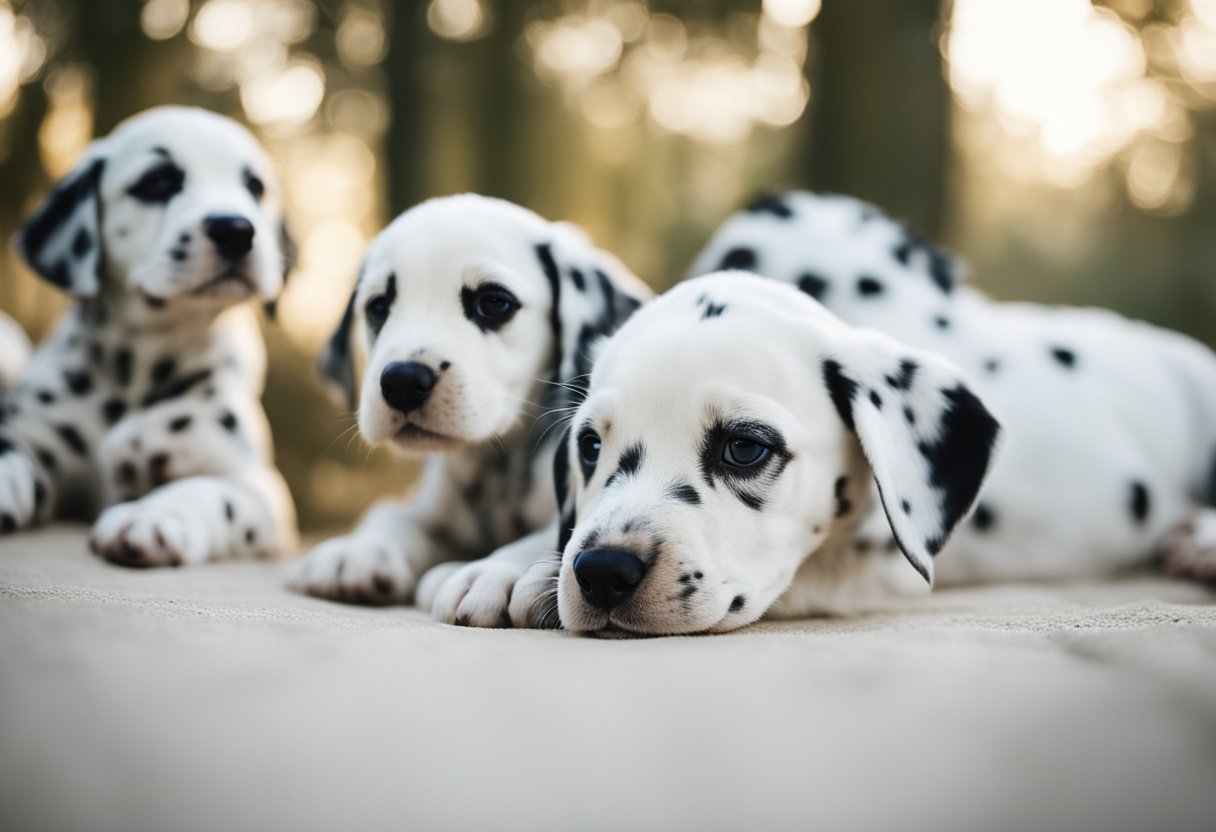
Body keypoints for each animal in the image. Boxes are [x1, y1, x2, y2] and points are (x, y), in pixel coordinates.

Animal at [0, 105, 296, 564]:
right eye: (158, 181)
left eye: (255, 186)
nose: (235, 229)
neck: (137, 366)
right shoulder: (32, 436)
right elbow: (9, 449)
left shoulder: (260, 487)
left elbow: (210, 490)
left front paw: (155, 516)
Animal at [291, 193, 656, 622]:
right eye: (378, 307)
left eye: (494, 302)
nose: (402, 381)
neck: (493, 471)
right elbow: (390, 513)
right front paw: (360, 550)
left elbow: (556, 533)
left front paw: (495, 571)